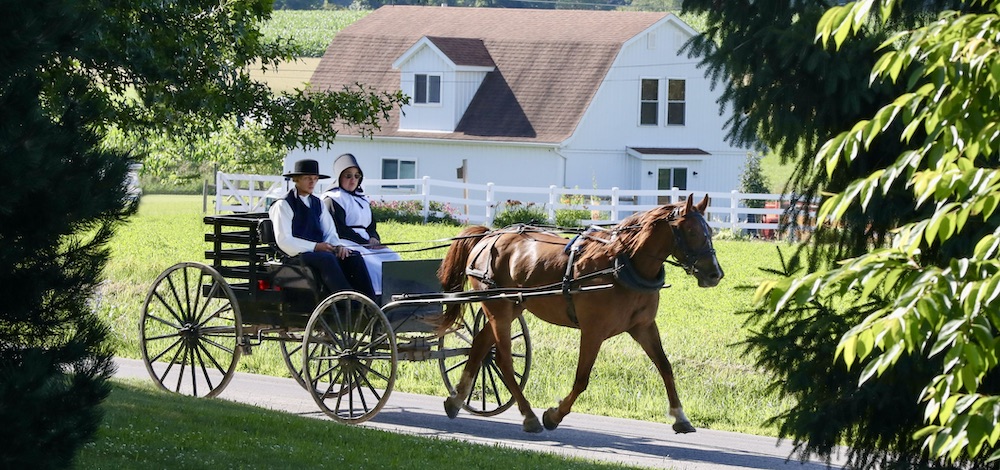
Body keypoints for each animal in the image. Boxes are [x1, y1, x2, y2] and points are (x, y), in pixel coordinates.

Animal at [434, 193, 724, 432]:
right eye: (691, 231)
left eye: (709, 230)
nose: (715, 274)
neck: (621, 263)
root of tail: (489, 236)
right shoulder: (593, 330)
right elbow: (582, 378)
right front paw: (554, 415)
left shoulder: (643, 326)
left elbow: (665, 366)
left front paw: (680, 416)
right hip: (499, 309)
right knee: (504, 361)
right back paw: (528, 415)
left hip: (512, 306)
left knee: (481, 344)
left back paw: (456, 399)